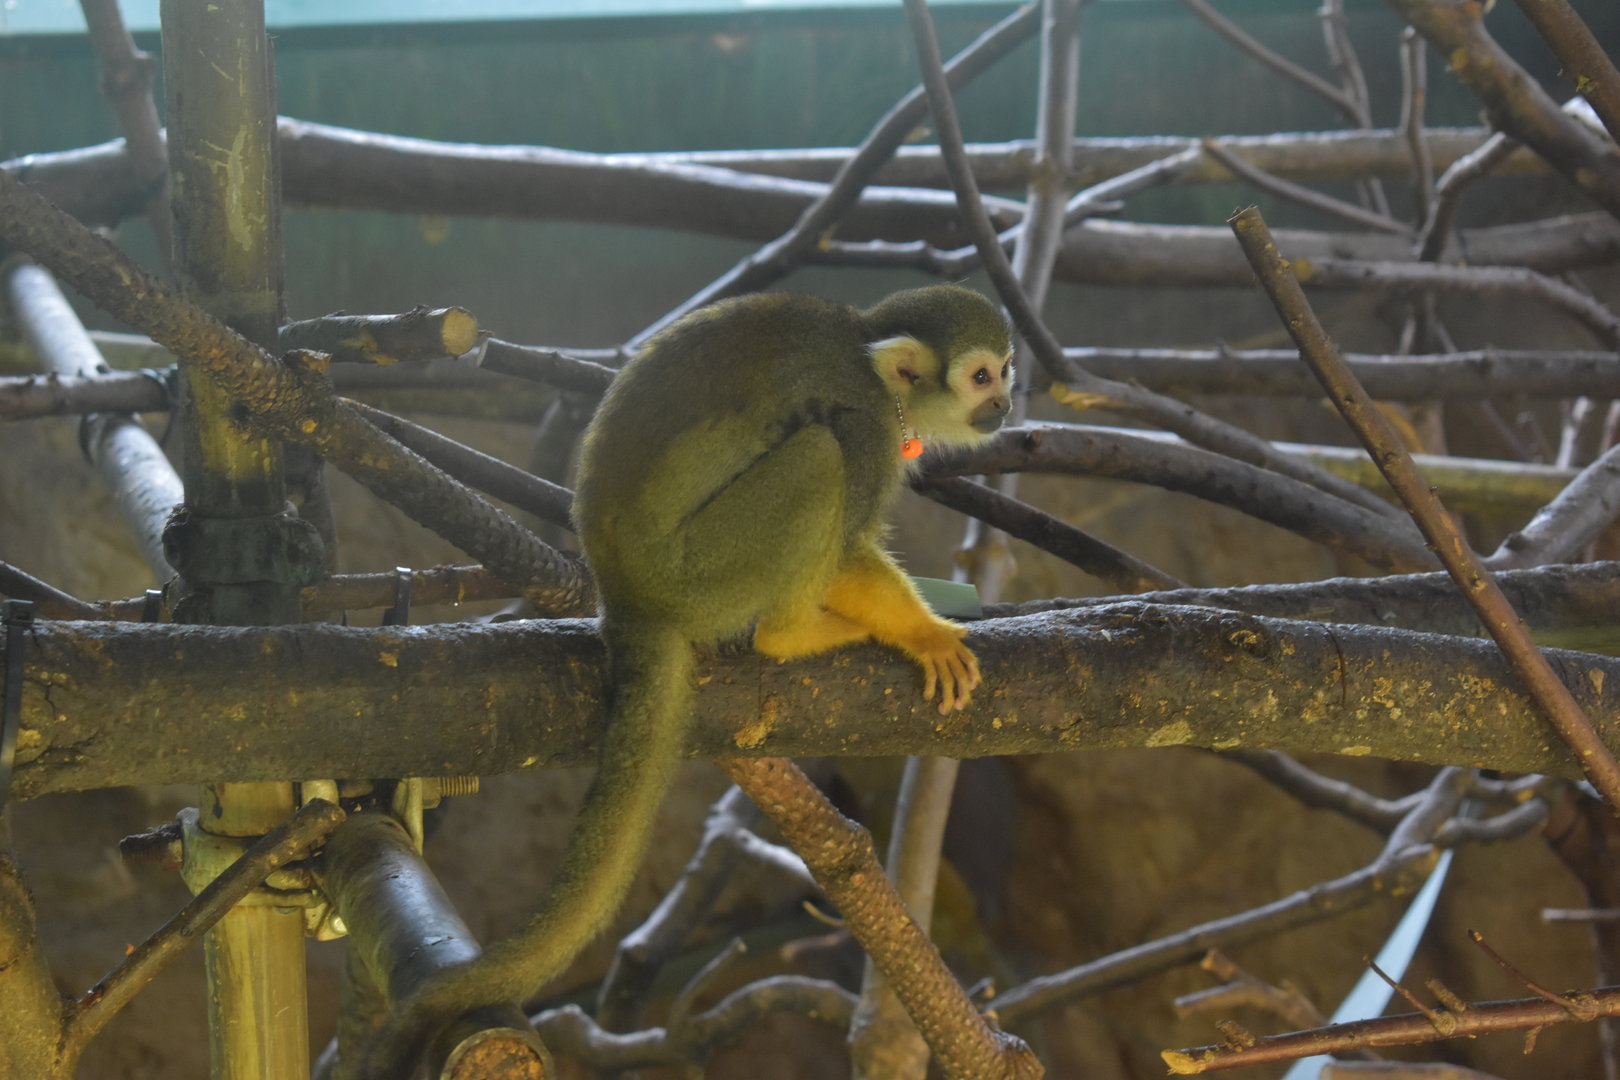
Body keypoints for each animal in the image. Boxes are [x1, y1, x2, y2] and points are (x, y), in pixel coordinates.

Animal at [359, 285, 1013, 1078]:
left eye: (1007, 370)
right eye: (981, 376)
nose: (1004, 405)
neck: (875, 368)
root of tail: (627, 600)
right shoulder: (866, 423)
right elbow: (850, 543)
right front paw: (923, 633)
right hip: (704, 569)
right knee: (816, 455)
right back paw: (793, 632)